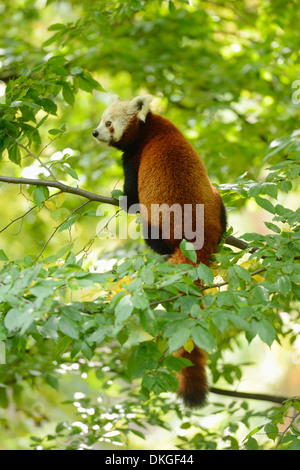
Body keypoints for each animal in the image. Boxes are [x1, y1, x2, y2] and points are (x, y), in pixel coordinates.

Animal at [92, 94, 226, 408]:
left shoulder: (135, 159)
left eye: (108, 123)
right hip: (216, 201)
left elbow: (131, 196)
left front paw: (121, 199)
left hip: (158, 225)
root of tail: (197, 241)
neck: (150, 126)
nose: (95, 133)